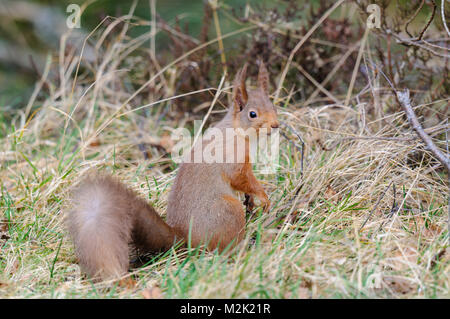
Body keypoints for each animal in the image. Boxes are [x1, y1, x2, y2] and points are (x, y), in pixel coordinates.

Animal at [66, 62, 278, 280]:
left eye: (274, 106)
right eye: (252, 114)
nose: (276, 125)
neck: (237, 131)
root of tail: (186, 238)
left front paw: (252, 200)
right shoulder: (232, 160)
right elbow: (242, 179)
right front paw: (263, 197)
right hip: (227, 210)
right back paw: (243, 248)